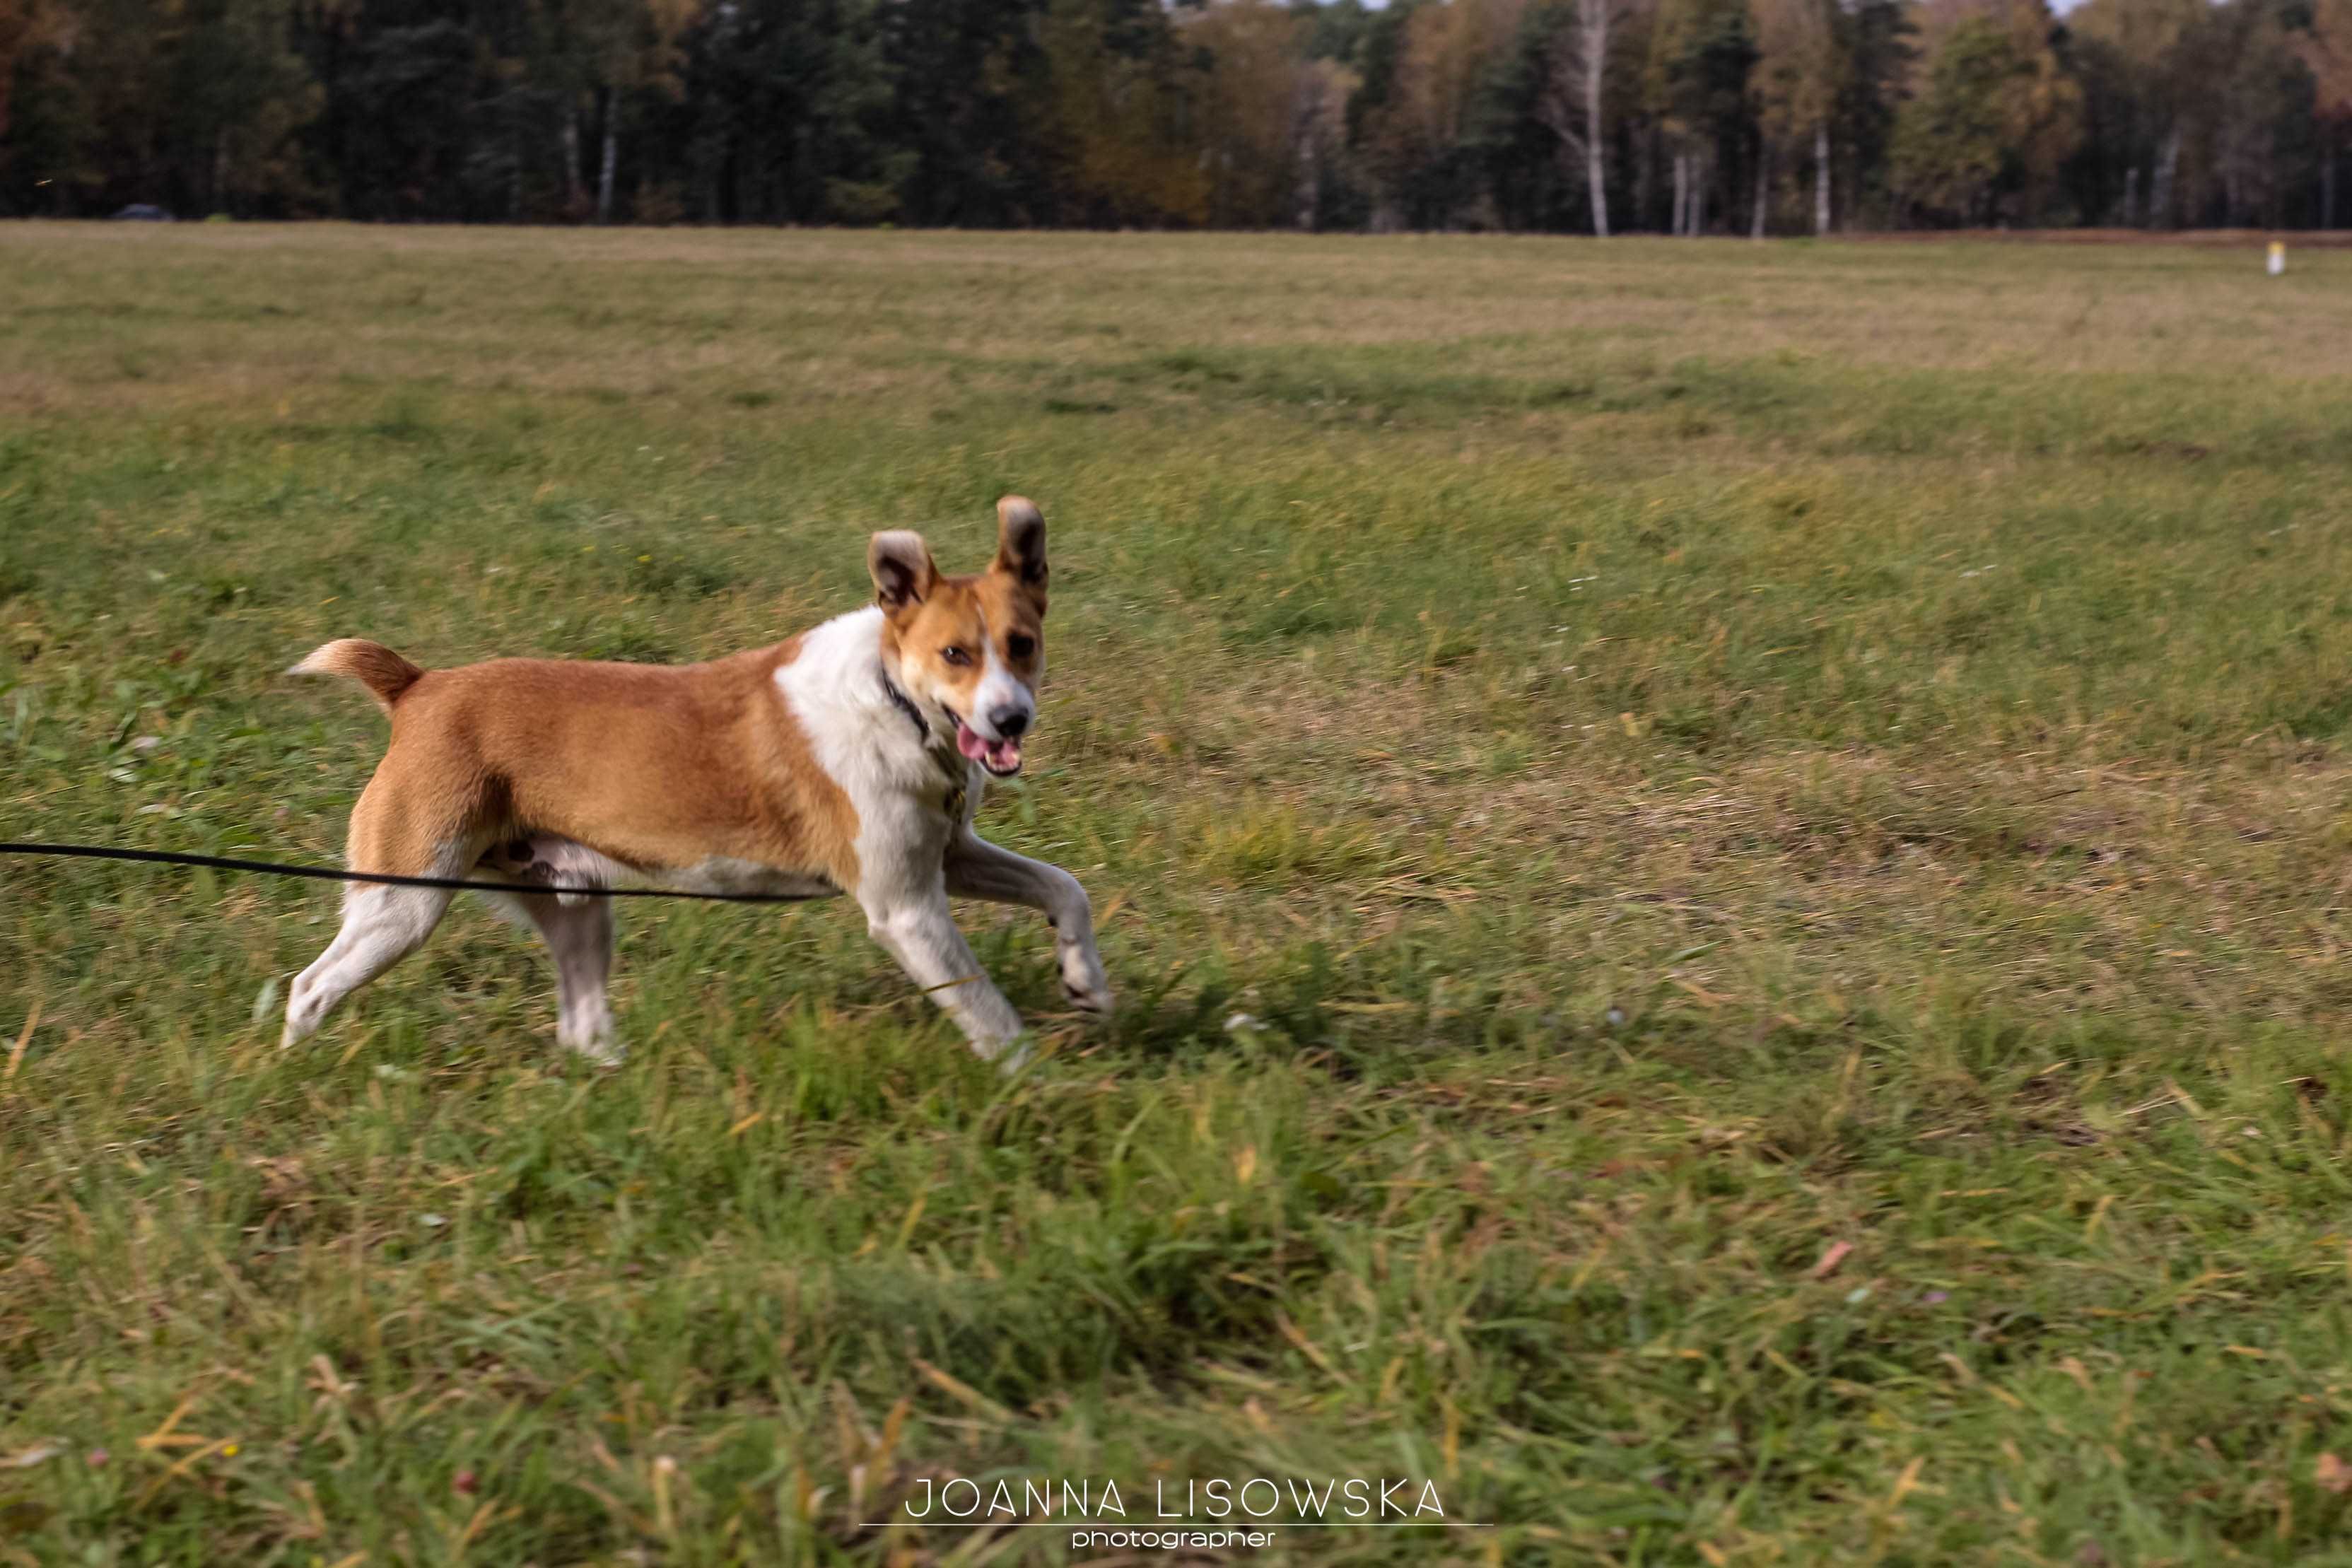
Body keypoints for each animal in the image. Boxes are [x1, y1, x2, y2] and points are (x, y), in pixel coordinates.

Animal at [279, 496, 1105, 1072]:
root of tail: (419, 688)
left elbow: (1065, 887)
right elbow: (990, 1011)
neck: (893, 698)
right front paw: (1037, 1085)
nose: (1009, 719)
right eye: (955, 653)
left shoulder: (948, 856)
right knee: (309, 988)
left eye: (1022, 644)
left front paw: (1084, 978)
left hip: (575, 905)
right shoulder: (906, 909)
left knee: (581, 1026)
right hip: (404, 899)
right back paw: (298, 1071)